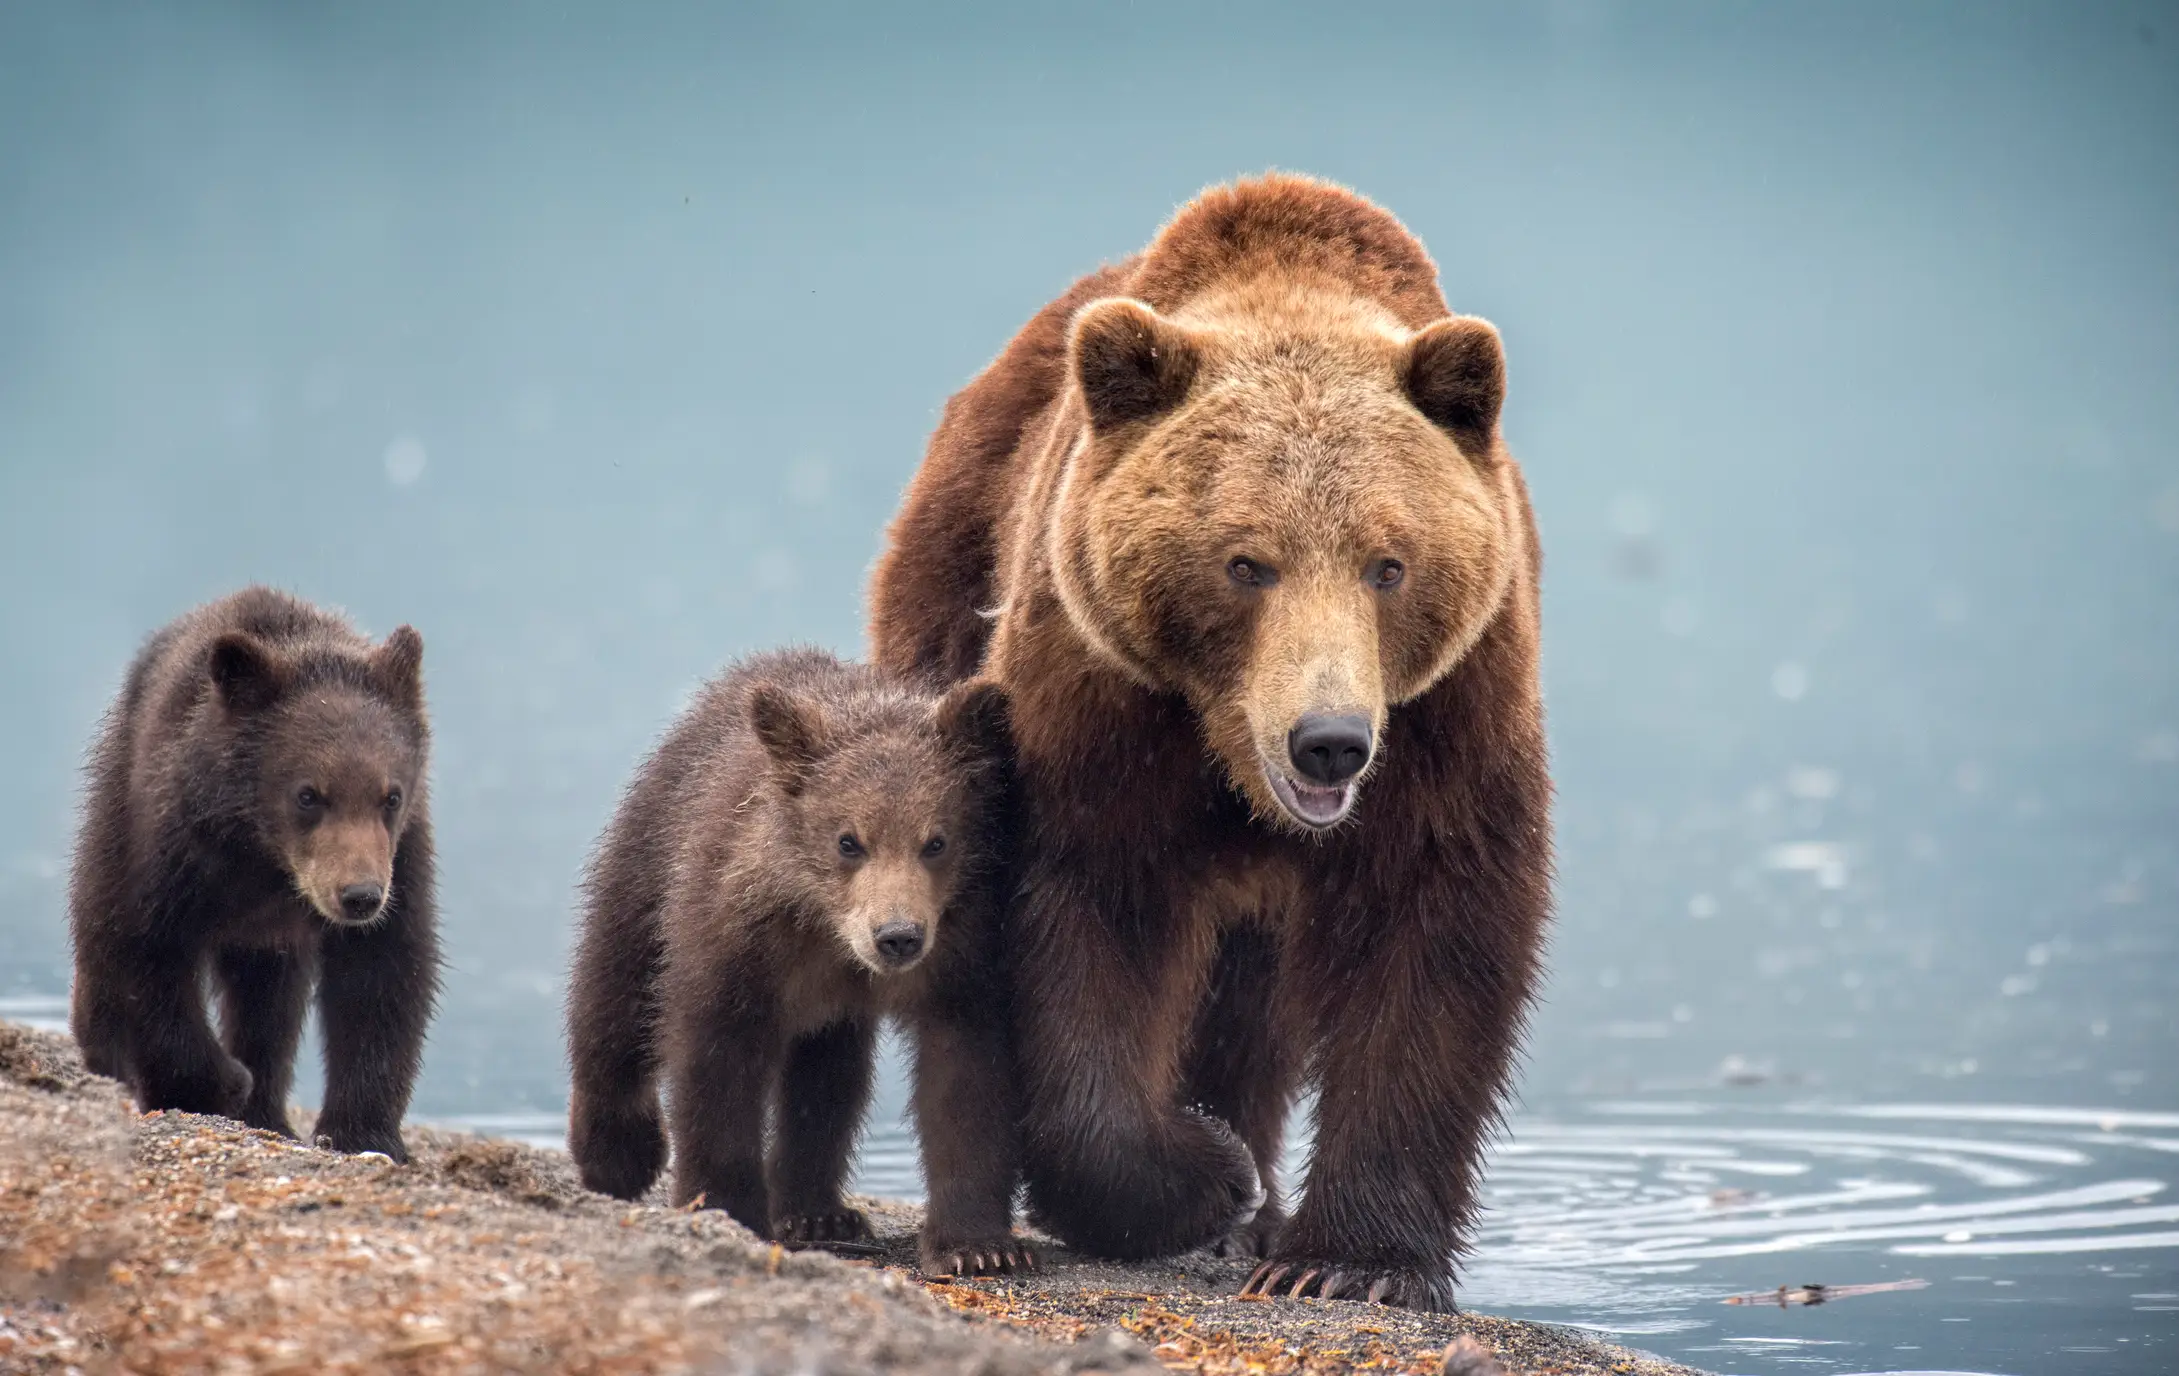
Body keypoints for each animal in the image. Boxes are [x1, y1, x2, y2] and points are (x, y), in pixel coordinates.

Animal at [68, 586, 441, 1162]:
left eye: (391, 795)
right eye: (308, 794)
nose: (358, 895)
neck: (265, 859)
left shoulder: (402, 861)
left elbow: (383, 977)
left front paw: (364, 1133)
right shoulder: (170, 846)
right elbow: (145, 956)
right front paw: (217, 1083)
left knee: (269, 1006)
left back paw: (270, 1114)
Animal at [563, 647, 1033, 1277]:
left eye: (936, 841)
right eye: (848, 840)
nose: (898, 937)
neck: (828, 930)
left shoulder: (963, 955)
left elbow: (965, 1080)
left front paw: (980, 1246)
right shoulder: (737, 942)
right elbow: (717, 1069)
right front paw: (727, 1208)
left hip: (831, 1010)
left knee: (827, 1079)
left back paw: (817, 1212)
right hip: (650, 851)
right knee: (614, 990)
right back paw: (616, 1154)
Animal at [868, 174, 1551, 1312]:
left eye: (1388, 564)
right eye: (1245, 562)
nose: (1329, 742)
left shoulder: (1449, 716)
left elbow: (1434, 938)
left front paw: (1347, 1260)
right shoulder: (1100, 703)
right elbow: (1084, 922)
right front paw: (1200, 1172)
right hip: (946, 589)